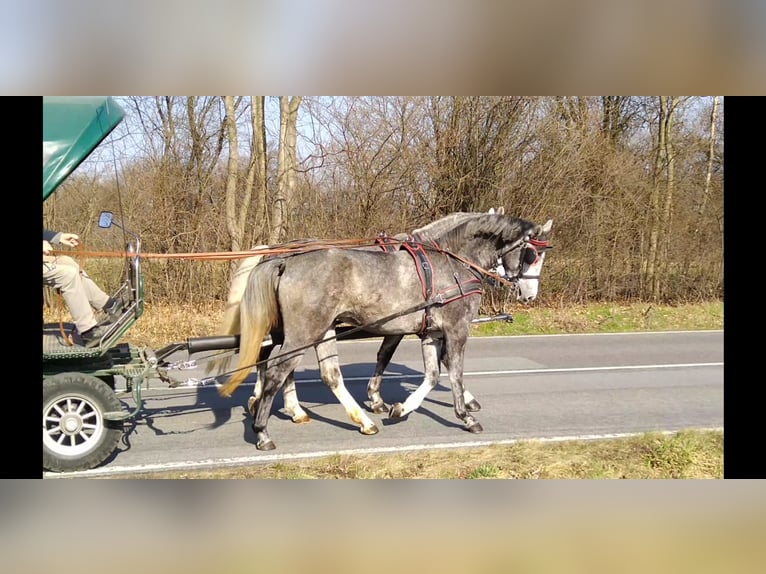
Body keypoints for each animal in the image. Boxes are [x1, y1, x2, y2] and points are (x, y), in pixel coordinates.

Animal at [219, 214, 556, 452]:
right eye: (532, 255)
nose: (528, 294)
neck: (453, 263)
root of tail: (283, 259)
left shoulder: (430, 332)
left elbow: (432, 374)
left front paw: (399, 407)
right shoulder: (455, 328)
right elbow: (453, 371)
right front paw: (467, 415)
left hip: (317, 330)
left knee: (323, 373)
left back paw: (356, 420)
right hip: (305, 331)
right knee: (277, 370)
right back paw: (263, 429)